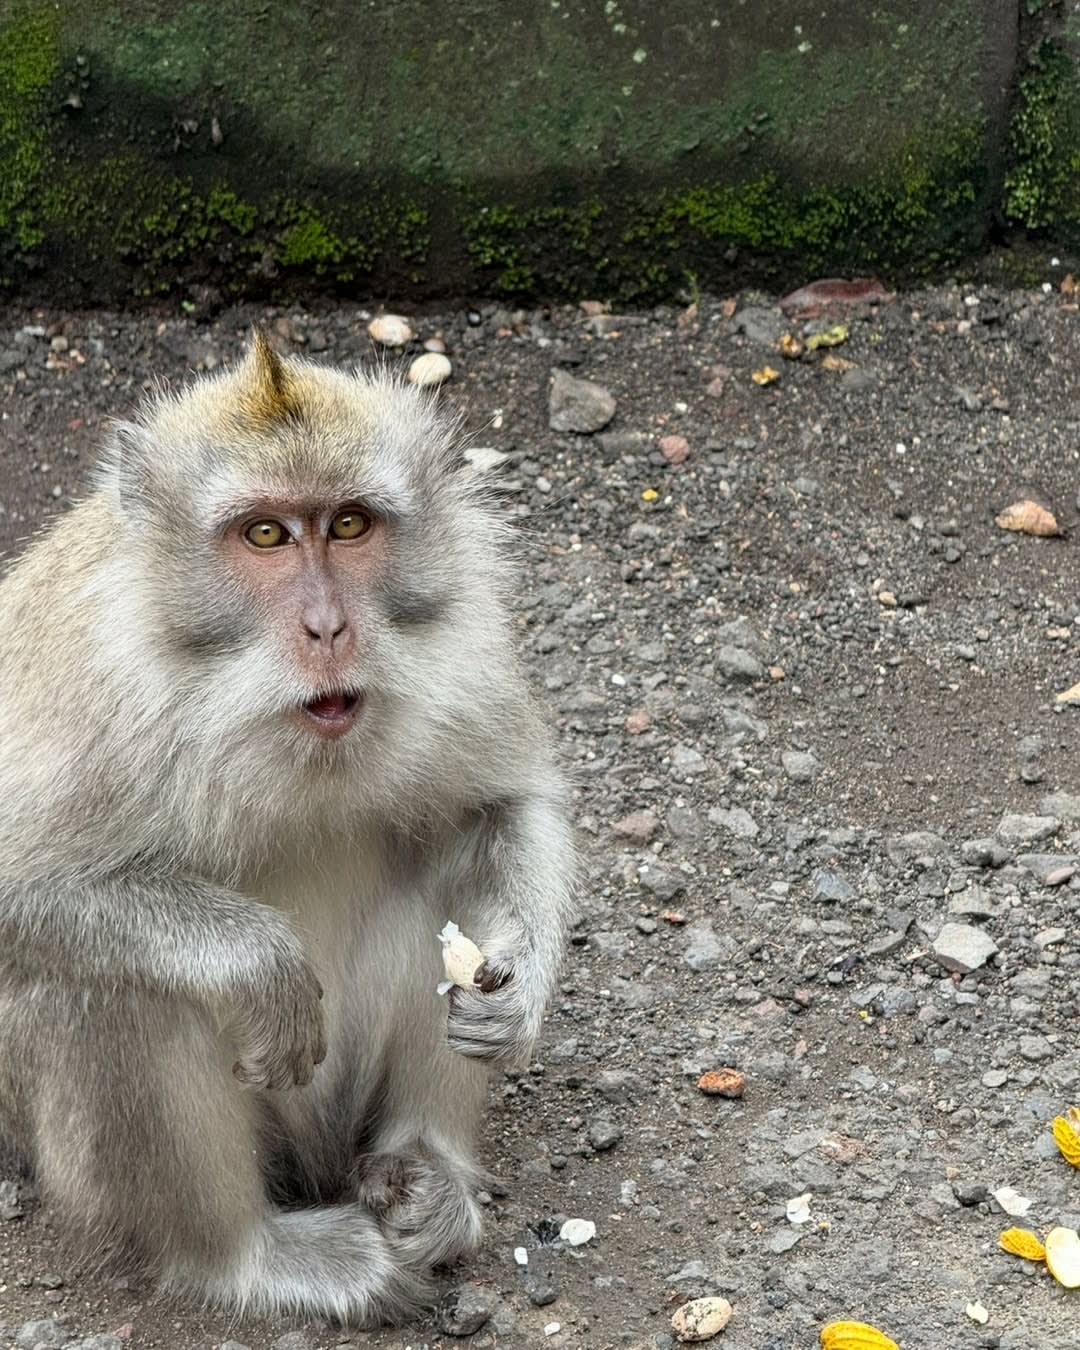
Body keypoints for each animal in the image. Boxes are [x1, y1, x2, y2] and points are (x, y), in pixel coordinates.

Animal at [0, 332, 574, 1324]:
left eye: (348, 525)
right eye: (264, 534)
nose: (327, 626)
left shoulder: (463, 650)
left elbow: (505, 805)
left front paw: (521, 987)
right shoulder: (92, 695)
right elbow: (20, 893)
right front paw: (254, 960)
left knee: (451, 859)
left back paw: (426, 1172)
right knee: (111, 986)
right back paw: (250, 1257)